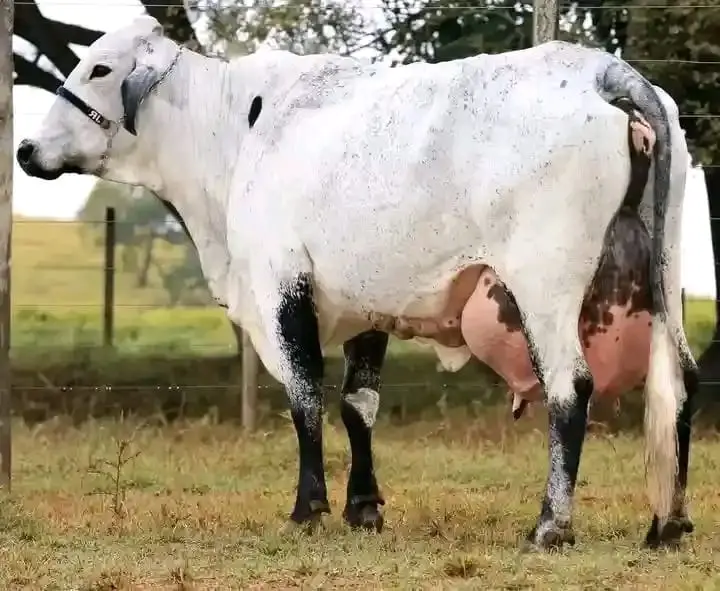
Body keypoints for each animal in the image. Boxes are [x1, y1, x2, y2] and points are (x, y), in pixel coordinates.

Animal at [16, 15, 697, 551]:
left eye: (100, 67)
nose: (24, 149)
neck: (234, 133)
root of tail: (599, 70)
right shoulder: (366, 303)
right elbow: (357, 405)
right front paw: (363, 507)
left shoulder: (281, 284)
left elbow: (305, 397)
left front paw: (308, 508)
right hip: (664, 274)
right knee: (680, 378)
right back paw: (668, 524)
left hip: (543, 284)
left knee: (569, 387)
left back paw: (551, 525)